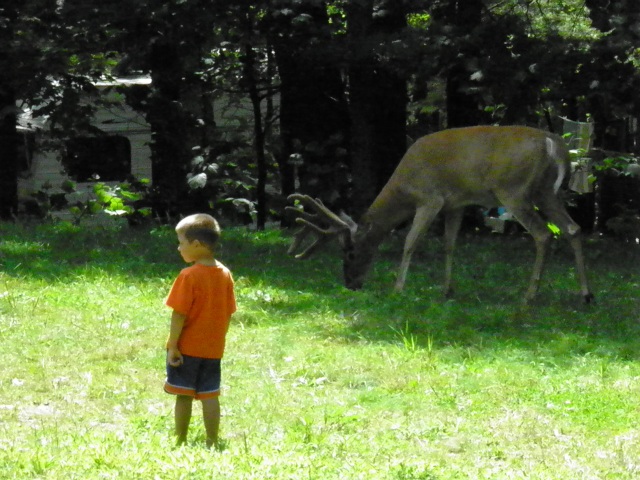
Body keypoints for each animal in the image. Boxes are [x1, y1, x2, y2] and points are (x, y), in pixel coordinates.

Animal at [284, 124, 596, 304]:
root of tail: (555, 145)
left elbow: (410, 242)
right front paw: (447, 290)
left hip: (514, 190)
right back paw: (586, 294)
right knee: (573, 228)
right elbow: (449, 245)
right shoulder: (456, 204)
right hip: (546, 192)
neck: (404, 187)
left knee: (543, 235)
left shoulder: (430, 199)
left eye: (349, 253)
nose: (350, 285)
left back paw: (530, 295)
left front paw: (398, 288)